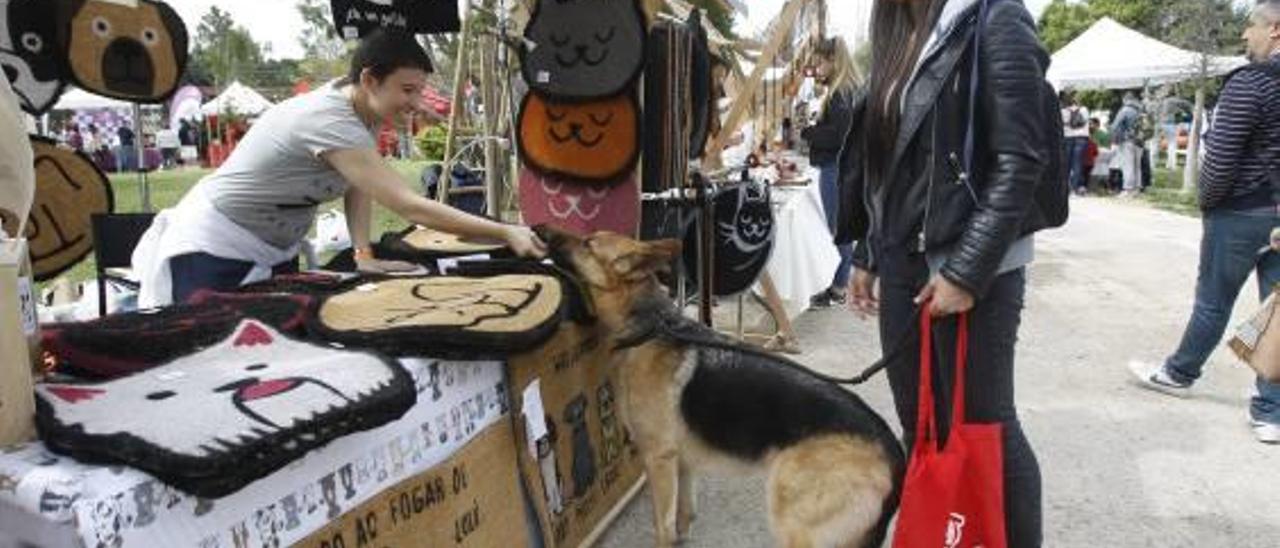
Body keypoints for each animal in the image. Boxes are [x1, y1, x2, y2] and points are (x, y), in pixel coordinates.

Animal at [542, 226, 911, 548]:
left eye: (588, 243)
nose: (541, 229)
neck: (650, 327)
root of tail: (894, 452)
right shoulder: (681, 461)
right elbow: (683, 516)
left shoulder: (658, 460)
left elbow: (662, 527)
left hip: (792, 523)